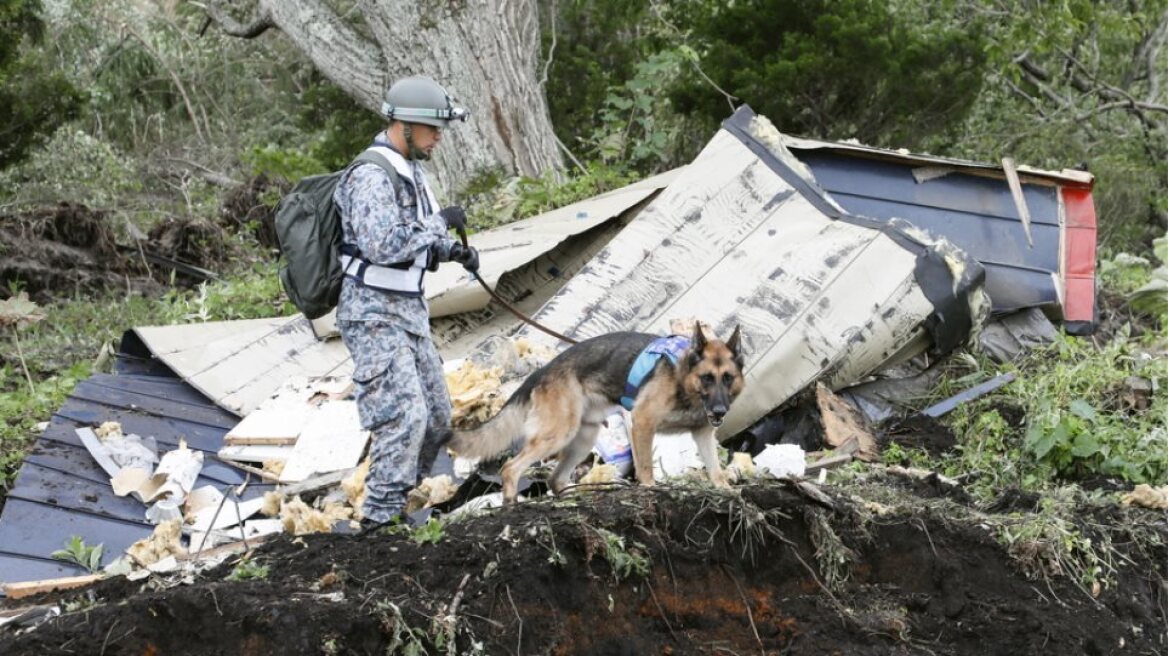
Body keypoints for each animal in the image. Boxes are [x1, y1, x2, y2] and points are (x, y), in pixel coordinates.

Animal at [450, 324, 742, 501]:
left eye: (727, 378)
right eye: (707, 378)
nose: (719, 410)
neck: (683, 378)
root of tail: (541, 372)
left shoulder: (703, 434)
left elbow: (715, 470)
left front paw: (726, 490)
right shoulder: (642, 422)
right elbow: (645, 467)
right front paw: (650, 490)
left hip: (582, 440)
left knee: (555, 479)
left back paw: (570, 501)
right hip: (558, 434)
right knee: (511, 468)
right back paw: (511, 504)